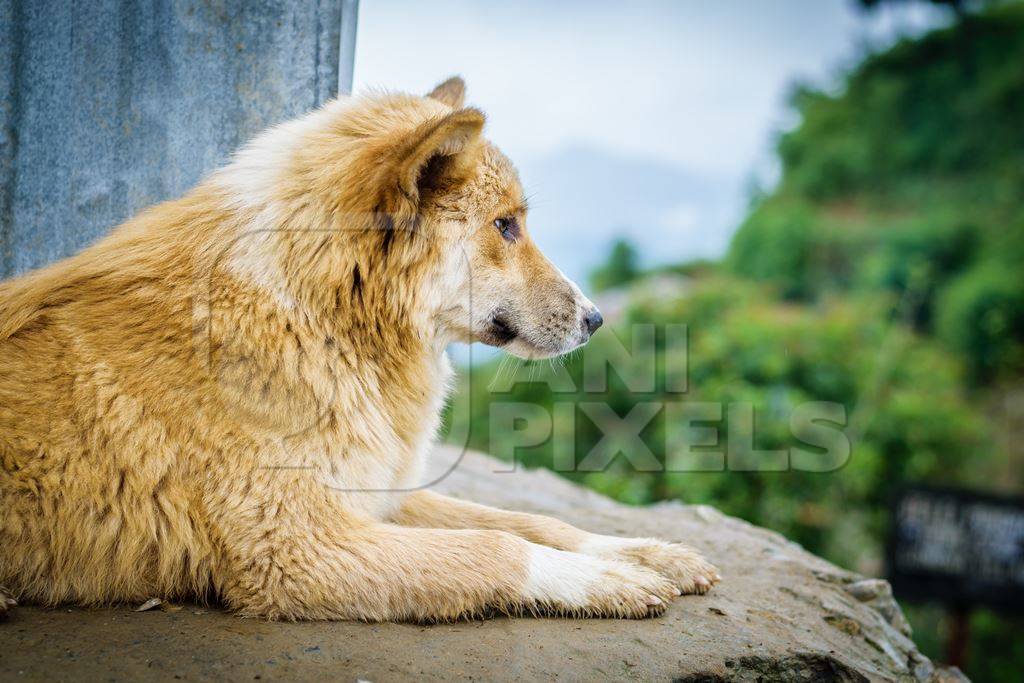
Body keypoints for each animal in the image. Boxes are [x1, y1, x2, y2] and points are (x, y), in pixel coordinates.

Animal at [2, 77, 720, 622]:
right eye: (505, 225)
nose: (596, 319)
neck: (317, 316)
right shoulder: (299, 549)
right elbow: (494, 545)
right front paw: (607, 581)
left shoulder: (379, 494)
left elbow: (530, 521)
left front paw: (642, 552)